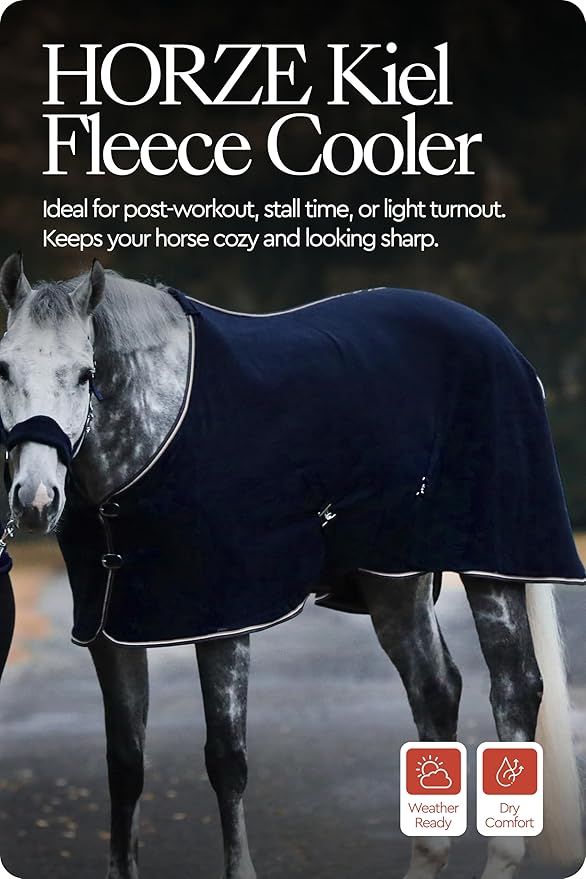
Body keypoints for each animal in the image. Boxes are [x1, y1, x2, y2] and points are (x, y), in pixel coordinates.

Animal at [0, 252, 583, 879]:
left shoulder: (224, 621)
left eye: (86, 374)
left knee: (514, 687)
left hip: (490, 567)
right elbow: (125, 764)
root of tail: (503, 345)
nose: (34, 502)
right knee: (435, 689)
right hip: (395, 577)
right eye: (4, 369)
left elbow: (226, 758)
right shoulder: (111, 630)